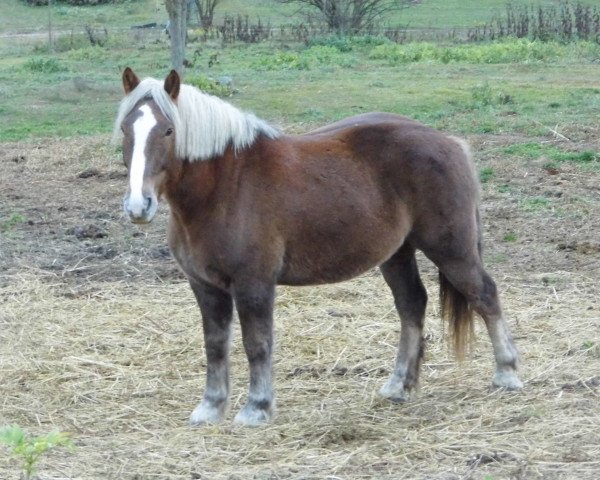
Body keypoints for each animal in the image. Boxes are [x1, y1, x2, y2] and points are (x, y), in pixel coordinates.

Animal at [115, 67, 524, 428]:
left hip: (452, 249)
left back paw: (507, 373)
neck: (224, 188)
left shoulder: (254, 284)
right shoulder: (205, 286)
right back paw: (398, 386)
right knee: (412, 305)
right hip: (397, 254)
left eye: (169, 129)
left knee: (485, 295)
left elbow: (256, 343)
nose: (139, 205)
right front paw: (210, 408)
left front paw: (257, 408)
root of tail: (450, 142)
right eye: (124, 129)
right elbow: (215, 345)